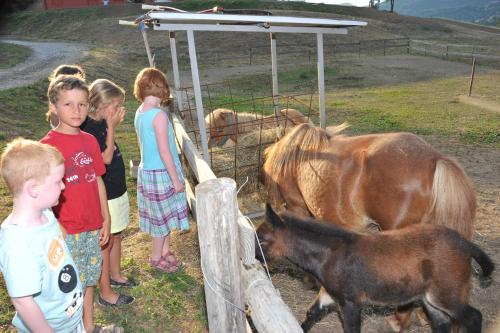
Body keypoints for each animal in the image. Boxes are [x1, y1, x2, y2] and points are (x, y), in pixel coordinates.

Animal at [256, 204, 494, 332]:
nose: (254, 259)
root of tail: (464, 244)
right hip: (431, 299)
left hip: (447, 294)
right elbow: (311, 314)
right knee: (442, 323)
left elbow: (351, 328)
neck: (330, 254)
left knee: (473, 317)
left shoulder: (350, 301)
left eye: (262, 240)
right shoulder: (331, 293)